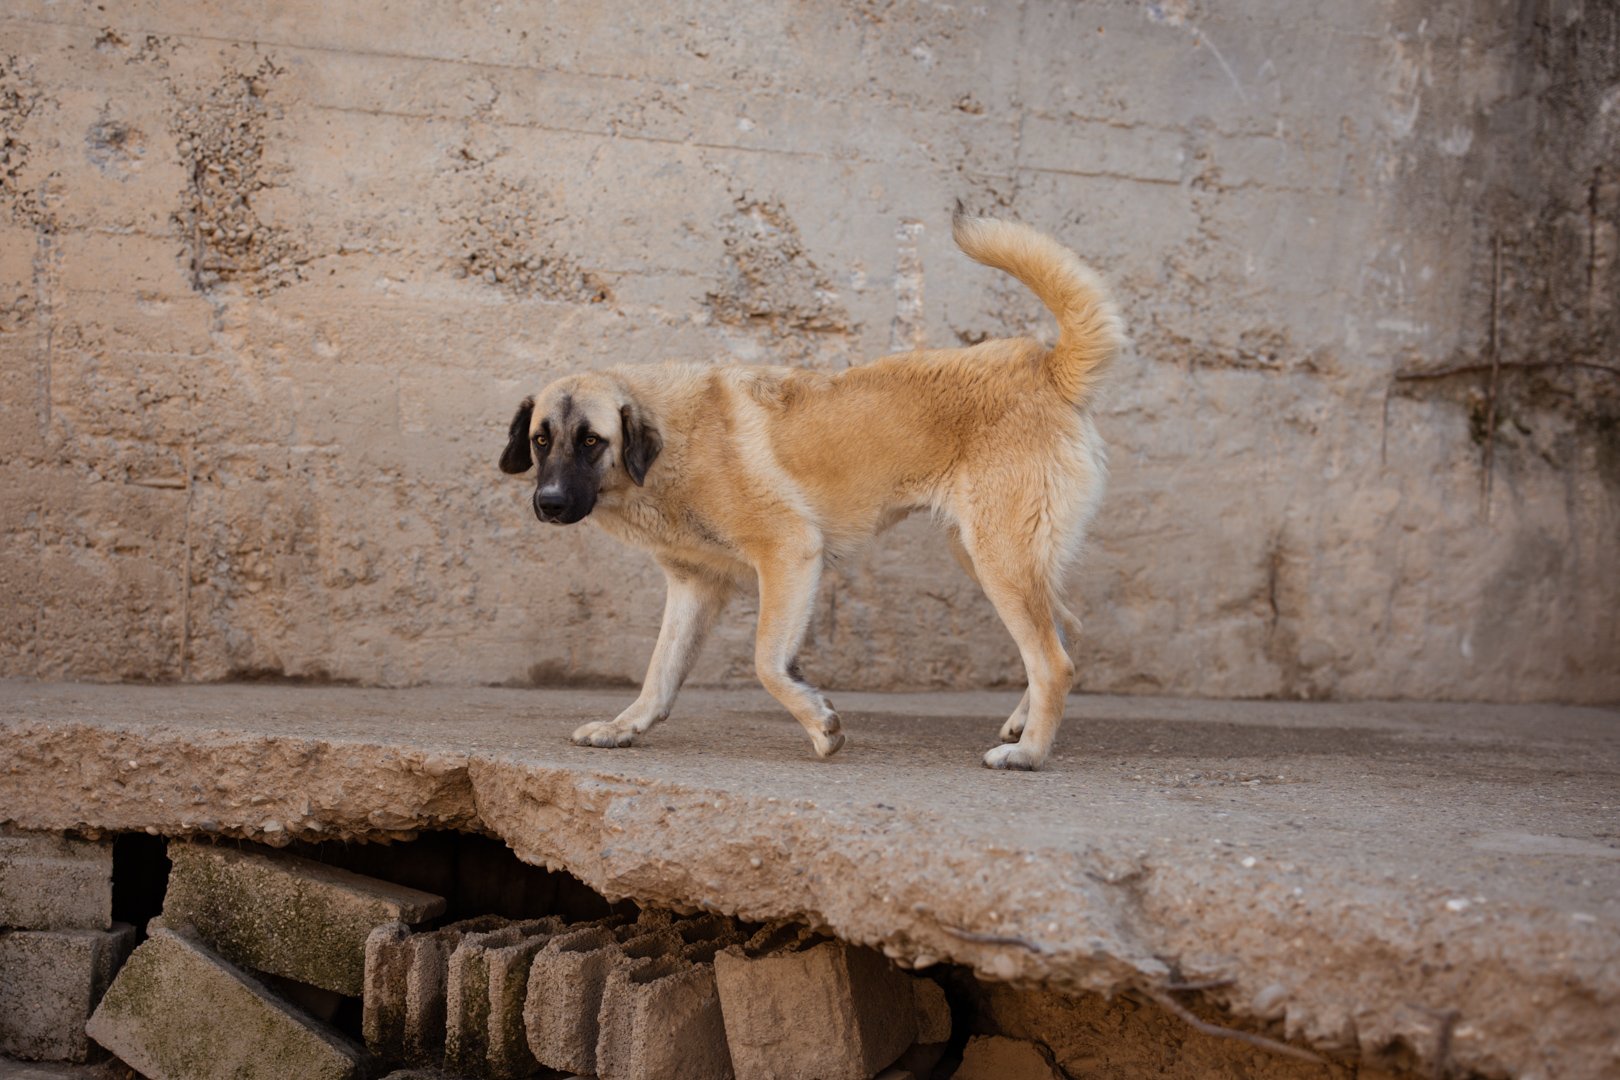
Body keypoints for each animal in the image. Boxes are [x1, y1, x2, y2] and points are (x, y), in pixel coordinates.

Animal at [499, 209, 1122, 769]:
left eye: (590, 441)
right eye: (540, 440)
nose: (548, 504)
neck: (672, 447)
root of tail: (1047, 367)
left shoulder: (790, 551)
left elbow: (766, 662)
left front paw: (820, 723)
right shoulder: (693, 585)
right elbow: (660, 673)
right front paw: (625, 726)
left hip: (999, 556)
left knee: (1053, 660)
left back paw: (1029, 753)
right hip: (983, 552)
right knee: (1064, 631)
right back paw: (1022, 724)